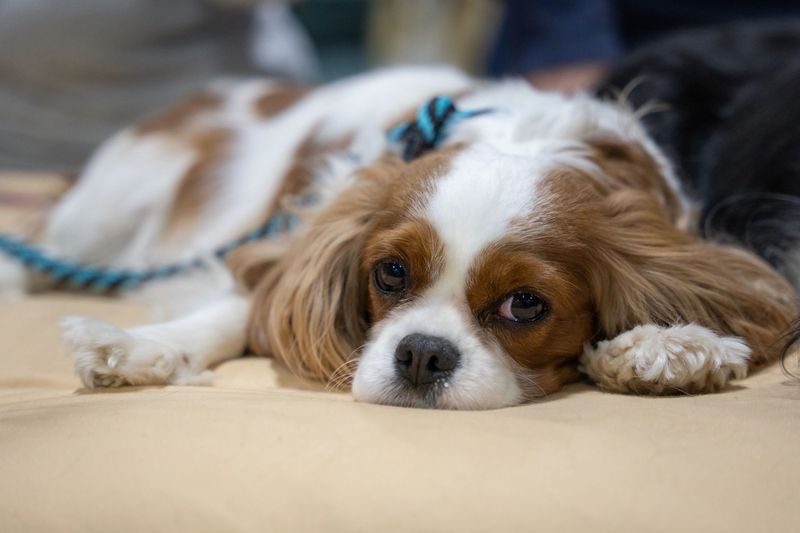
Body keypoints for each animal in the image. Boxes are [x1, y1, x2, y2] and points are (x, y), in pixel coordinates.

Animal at [4, 31, 792, 408]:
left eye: (525, 304)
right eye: (389, 273)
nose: (421, 354)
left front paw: (669, 345)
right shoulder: (303, 232)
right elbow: (244, 304)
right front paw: (144, 348)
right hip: (104, 210)